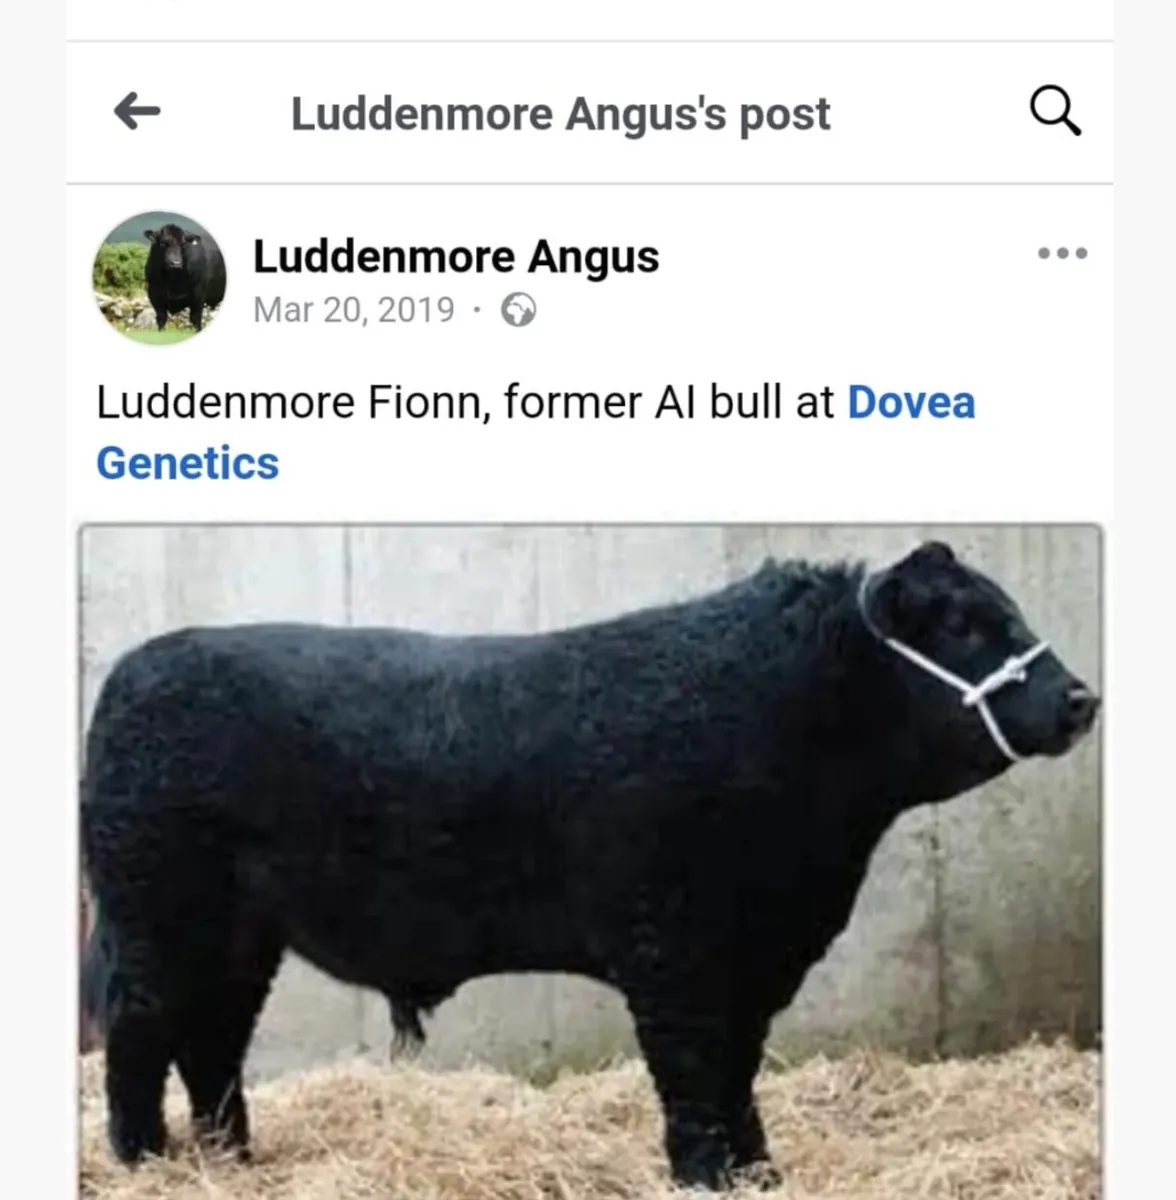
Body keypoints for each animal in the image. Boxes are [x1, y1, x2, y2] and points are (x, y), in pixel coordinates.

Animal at [79, 540, 1099, 1189]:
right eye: (964, 625)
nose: (1080, 698)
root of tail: (139, 664)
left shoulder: (755, 957)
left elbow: (738, 1073)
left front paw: (762, 1172)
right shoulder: (679, 952)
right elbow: (696, 1075)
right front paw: (710, 1177)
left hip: (238, 933)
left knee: (213, 1038)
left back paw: (231, 1162)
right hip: (160, 913)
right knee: (141, 1030)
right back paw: (141, 1161)